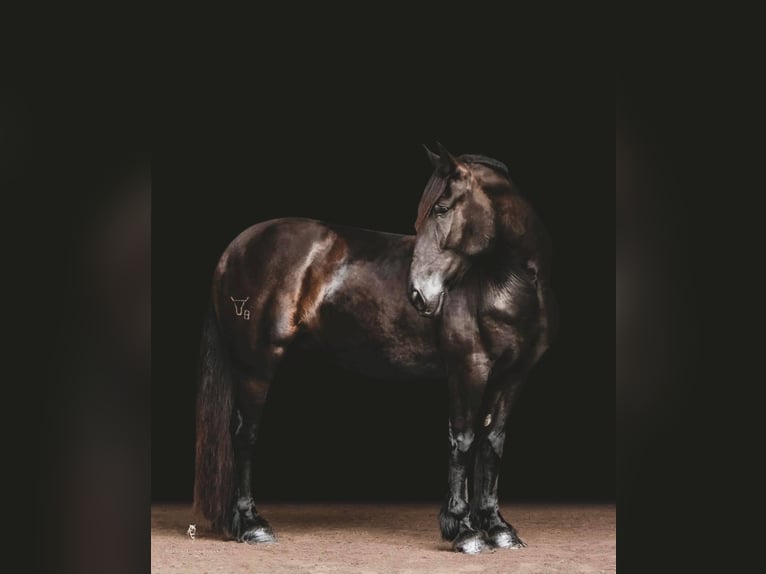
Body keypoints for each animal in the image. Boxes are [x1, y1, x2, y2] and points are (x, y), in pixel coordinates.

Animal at [194, 143, 560, 552]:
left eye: (441, 208)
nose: (418, 294)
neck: (509, 284)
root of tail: (236, 248)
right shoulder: (470, 368)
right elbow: (463, 441)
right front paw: (464, 530)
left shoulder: (513, 375)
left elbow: (492, 443)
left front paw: (498, 527)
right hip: (257, 365)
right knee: (245, 435)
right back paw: (252, 525)